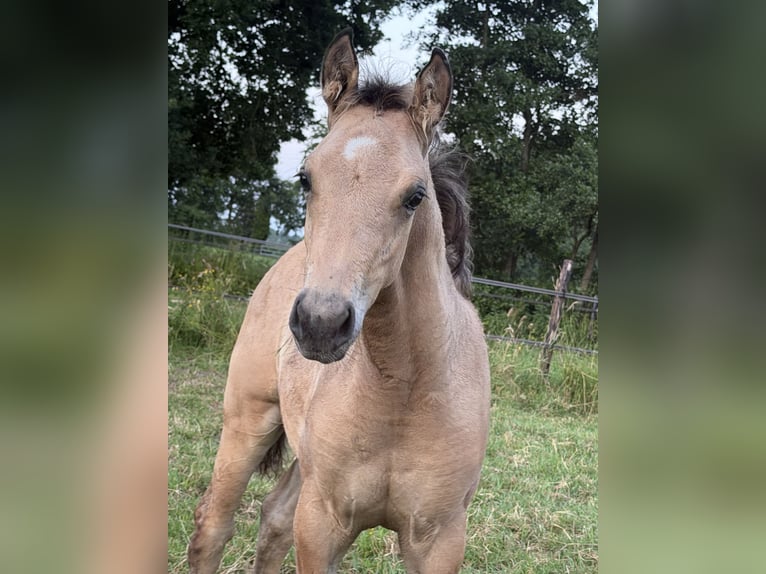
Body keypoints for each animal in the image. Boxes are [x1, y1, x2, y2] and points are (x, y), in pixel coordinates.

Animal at [188, 29, 490, 574]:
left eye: (415, 195)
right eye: (305, 178)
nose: (320, 323)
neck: (402, 391)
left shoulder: (440, 537)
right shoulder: (323, 521)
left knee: (273, 518)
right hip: (247, 419)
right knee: (214, 525)